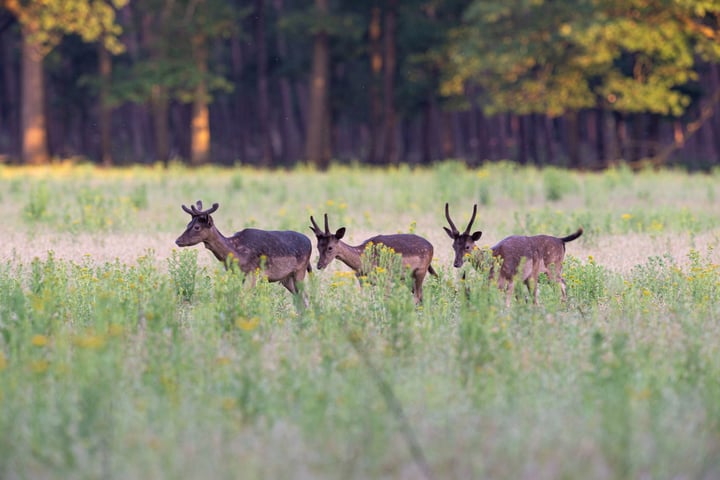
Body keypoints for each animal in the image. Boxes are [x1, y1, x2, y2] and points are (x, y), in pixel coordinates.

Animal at [176, 200, 312, 306]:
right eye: (188, 224)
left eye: (197, 227)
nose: (178, 240)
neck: (236, 253)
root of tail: (310, 242)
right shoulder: (239, 275)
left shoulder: (253, 273)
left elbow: (244, 298)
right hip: (287, 278)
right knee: (300, 297)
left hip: (300, 270)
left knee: (304, 297)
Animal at [306, 215, 436, 304]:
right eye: (317, 246)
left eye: (330, 247)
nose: (319, 265)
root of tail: (431, 246)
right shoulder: (363, 281)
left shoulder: (386, 278)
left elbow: (385, 300)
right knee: (420, 295)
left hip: (420, 271)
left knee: (418, 296)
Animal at [444, 203, 584, 308]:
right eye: (453, 246)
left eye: (467, 246)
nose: (456, 263)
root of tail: (561, 240)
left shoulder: (511, 280)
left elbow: (507, 304)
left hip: (547, 271)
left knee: (553, 290)